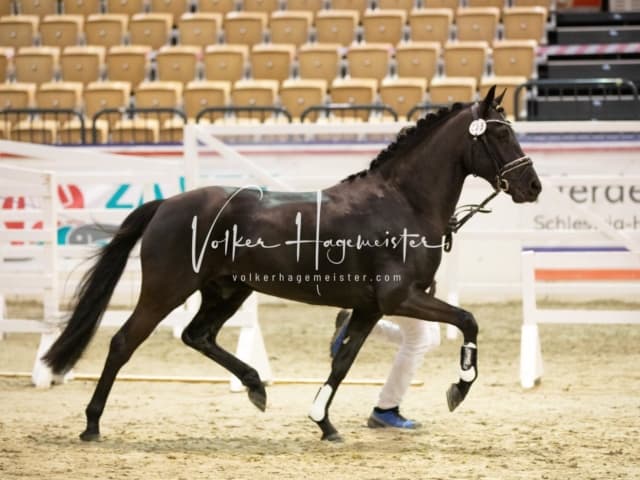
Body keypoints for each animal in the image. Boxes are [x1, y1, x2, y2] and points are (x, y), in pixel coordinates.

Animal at [42, 87, 540, 442]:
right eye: (500, 134)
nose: (532, 186)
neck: (402, 203)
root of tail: (166, 204)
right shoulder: (401, 298)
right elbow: (468, 320)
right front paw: (459, 388)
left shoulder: (371, 307)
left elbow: (343, 361)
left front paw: (324, 422)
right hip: (167, 289)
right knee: (124, 342)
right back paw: (92, 425)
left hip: (228, 290)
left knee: (196, 335)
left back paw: (256, 387)